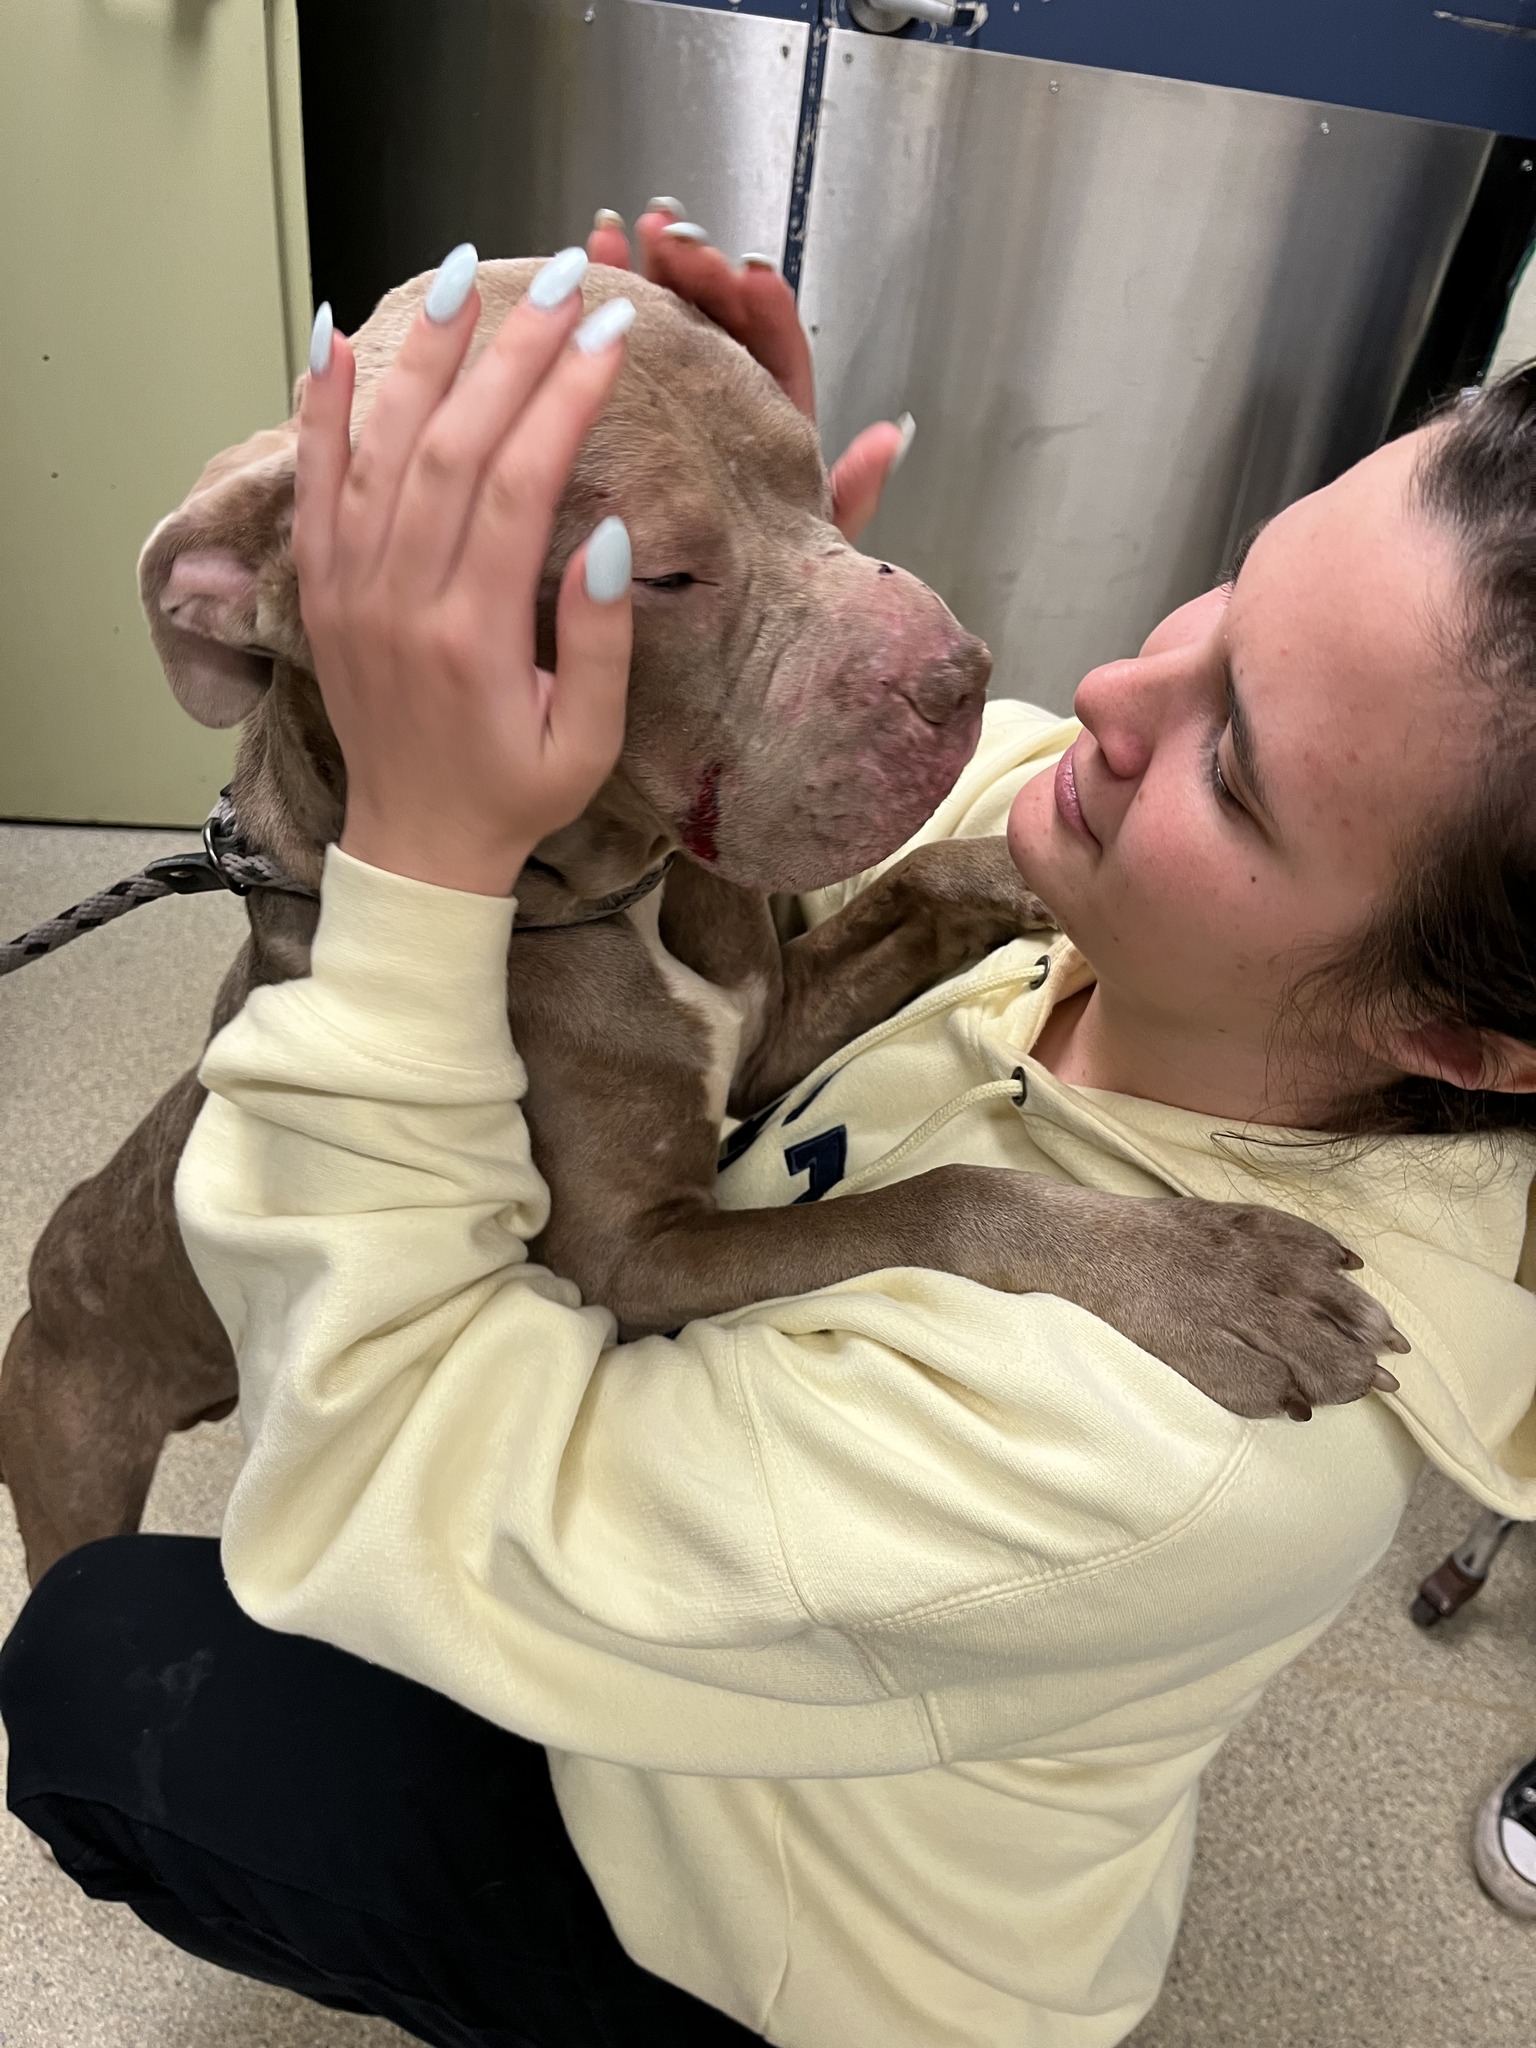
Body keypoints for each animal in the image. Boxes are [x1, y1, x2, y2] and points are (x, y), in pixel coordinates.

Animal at [0, 260, 1400, 1581]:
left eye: (814, 475)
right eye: (658, 576)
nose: (962, 678)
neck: (621, 901)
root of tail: (46, 1262)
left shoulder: (766, 1035)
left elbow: (922, 881)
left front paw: (1040, 860)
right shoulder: (630, 1266)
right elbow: (935, 1200)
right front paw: (1219, 1281)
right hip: (68, 1462)